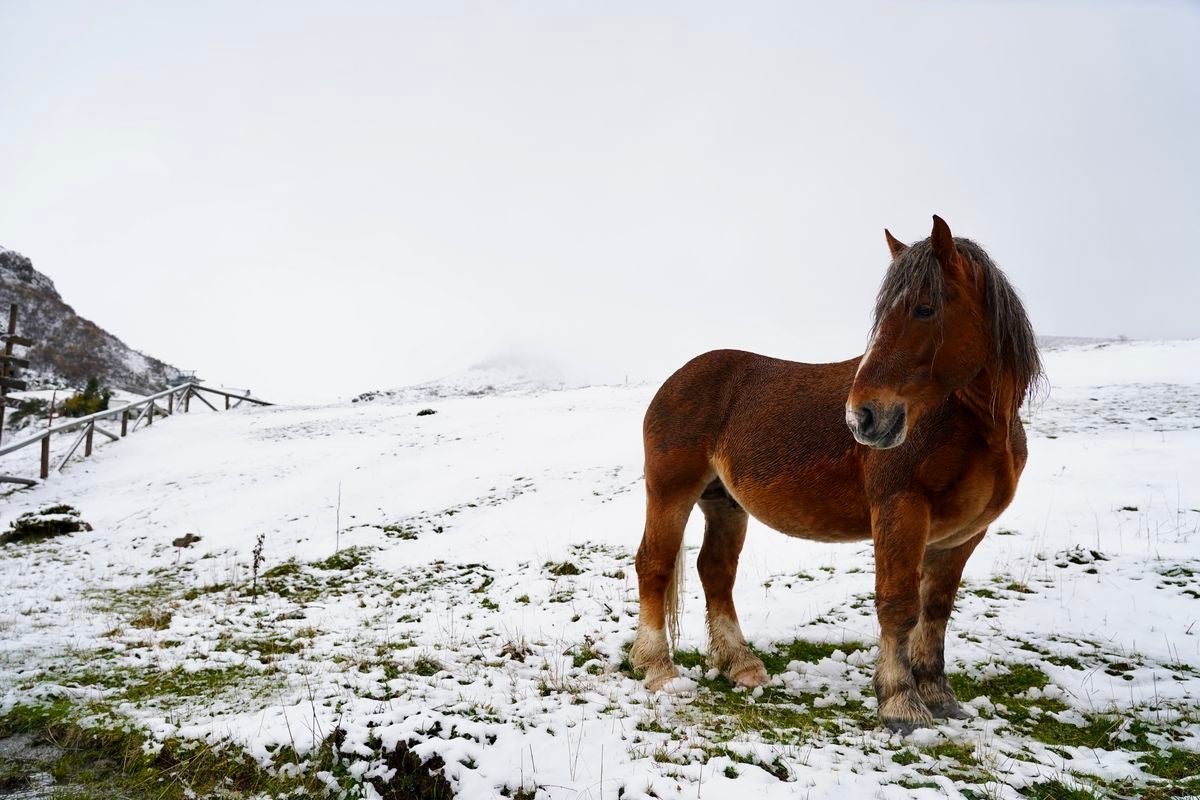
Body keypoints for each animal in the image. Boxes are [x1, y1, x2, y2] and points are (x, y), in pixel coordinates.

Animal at [631, 216, 1042, 732]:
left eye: (924, 309)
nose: (862, 417)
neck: (972, 426)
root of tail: (677, 379)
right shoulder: (901, 511)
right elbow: (899, 605)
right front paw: (900, 703)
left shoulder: (963, 534)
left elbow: (937, 610)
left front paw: (939, 696)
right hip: (671, 492)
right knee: (655, 565)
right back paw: (659, 670)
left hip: (724, 503)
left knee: (716, 572)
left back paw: (741, 665)